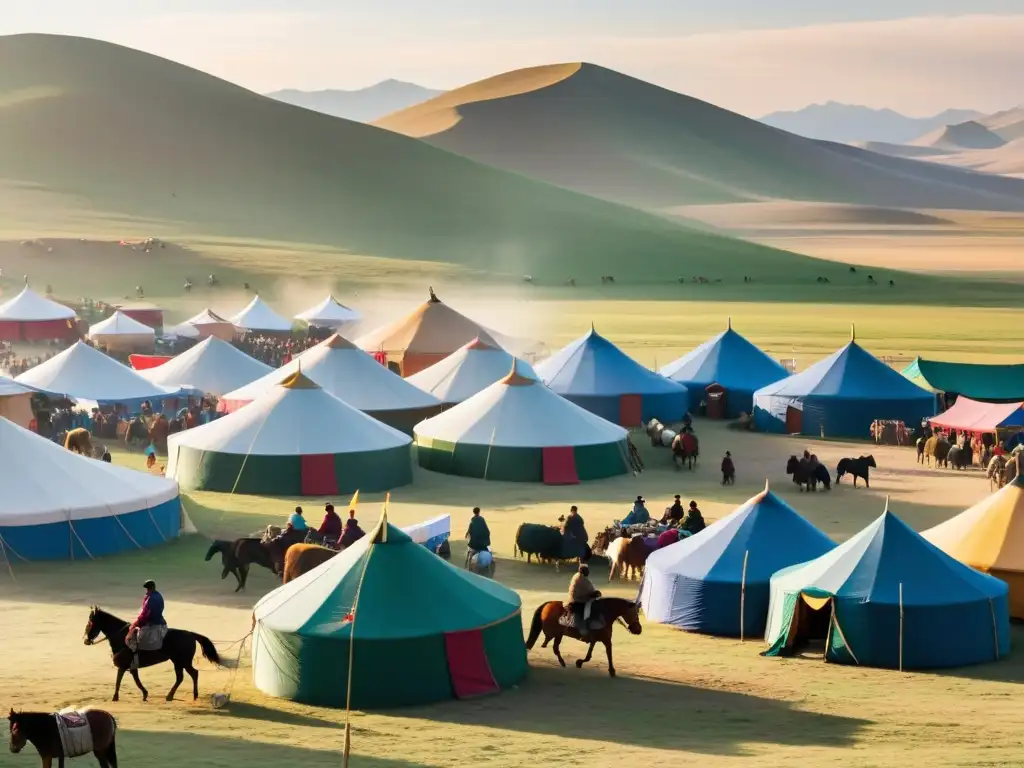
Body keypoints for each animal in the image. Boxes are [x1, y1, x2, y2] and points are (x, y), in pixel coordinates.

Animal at [84, 606, 230, 704]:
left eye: (91, 622)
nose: (86, 641)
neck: (122, 636)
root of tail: (190, 634)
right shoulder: (132, 666)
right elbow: (136, 680)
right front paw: (144, 694)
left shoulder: (123, 666)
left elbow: (118, 681)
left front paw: (115, 697)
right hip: (177, 662)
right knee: (181, 677)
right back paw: (171, 696)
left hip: (183, 661)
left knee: (193, 674)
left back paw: (192, 695)